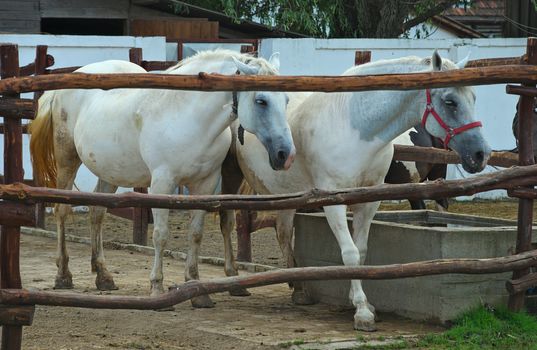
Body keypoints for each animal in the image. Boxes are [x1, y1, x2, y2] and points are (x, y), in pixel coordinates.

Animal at [29, 50, 296, 308]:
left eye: (286, 100)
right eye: (261, 101)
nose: (286, 154)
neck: (188, 116)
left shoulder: (205, 184)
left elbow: (195, 234)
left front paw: (197, 289)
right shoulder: (162, 183)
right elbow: (160, 234)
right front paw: (157, 288)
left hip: (110, 171)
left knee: (97, 213)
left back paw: (103, 276)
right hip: (67, 160)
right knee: (62, 211)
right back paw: (63, 275)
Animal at [219, 50, 490, 330]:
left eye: (473, 97)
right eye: (450, 101)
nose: (480, 154)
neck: (354, 129)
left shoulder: (369, 200)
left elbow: (360, 252)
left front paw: (362, 302)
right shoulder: (333, 200)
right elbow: (349, 253)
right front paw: (362, 312)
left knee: (283, 233)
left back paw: (299, 288)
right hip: (230, 177)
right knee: (227, 221)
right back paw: (234, 280)